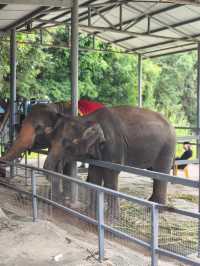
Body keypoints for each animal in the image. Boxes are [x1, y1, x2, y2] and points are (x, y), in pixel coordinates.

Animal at [43, 105, 175, 205]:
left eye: (67, 145)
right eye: (49, 140)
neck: (86, 118)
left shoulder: (113, 145)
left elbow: (111, 173)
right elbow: (95, 172)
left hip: (167, 148)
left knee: (161, 173)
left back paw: (155, 205)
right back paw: (151, 202)